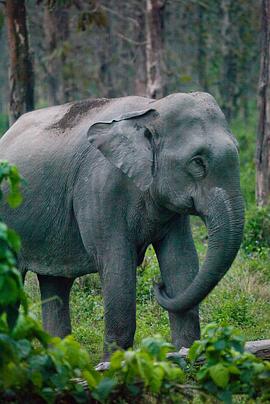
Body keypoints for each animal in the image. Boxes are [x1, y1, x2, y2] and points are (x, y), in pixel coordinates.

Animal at [0, 92, 245, 360]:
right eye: (197, 162)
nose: (158, 284)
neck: (149, 109)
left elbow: (181, 261)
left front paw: (186, 355)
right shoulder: (99, 189)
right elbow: (116, 264)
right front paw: (113, 364)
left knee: (56, 283)